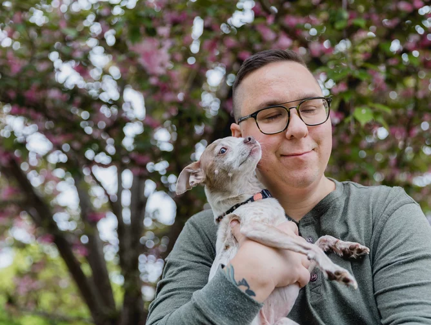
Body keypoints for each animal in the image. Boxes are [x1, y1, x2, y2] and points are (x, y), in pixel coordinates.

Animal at [176, 135, 368, 322]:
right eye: (222, 150)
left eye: (236, 137)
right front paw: (334, 269)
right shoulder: (256, 227)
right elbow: (313, 247)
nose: (250, 138)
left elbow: (323, 239)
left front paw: (348, 247)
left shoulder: (304, 267)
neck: (247, 200)